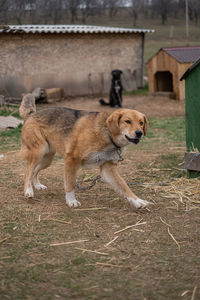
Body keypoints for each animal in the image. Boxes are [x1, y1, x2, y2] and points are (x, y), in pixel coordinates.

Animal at [19, 93, 149, 209]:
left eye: (141, 123)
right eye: (127, 121)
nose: (139, 133)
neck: (107, 133)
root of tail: (32, 114)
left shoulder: (108, 169)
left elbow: (124, 185)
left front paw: (137, 201)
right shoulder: (71, 159)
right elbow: (70, 183)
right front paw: (71, 201)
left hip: (47, 159)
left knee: (34, 172)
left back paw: (37, 185)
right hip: (39, 152)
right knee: (27, 171)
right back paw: (28, 191)